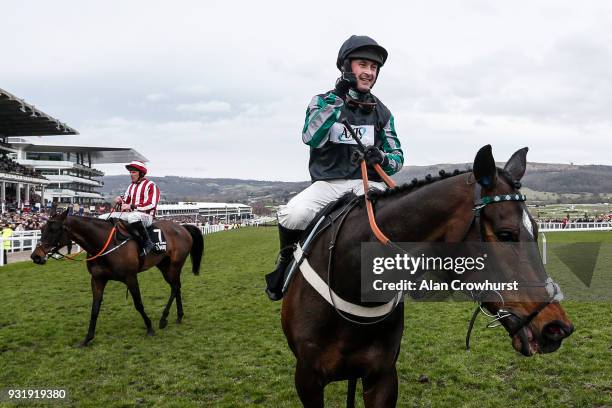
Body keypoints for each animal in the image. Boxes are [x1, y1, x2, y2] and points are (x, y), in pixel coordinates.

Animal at [30, 210, 203, 348]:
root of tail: (182, 227)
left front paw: (149, 328)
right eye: (42, 229)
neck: (104, 244)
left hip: (174, 265)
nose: (35, 256)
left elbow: (138, 304)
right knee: (177, 286)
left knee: (175, 287)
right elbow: (95, 308)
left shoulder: (130, 277)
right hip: (164, 265)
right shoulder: (97, 279)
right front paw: (87, 339)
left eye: (54, 229)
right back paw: (178, 316)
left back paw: (163, 319)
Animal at [280, 145, 572, 406]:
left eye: (536, 230)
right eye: (505, 234)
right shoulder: (307, 379)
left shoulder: (382, 376)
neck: (348, 279)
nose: (557, 326)